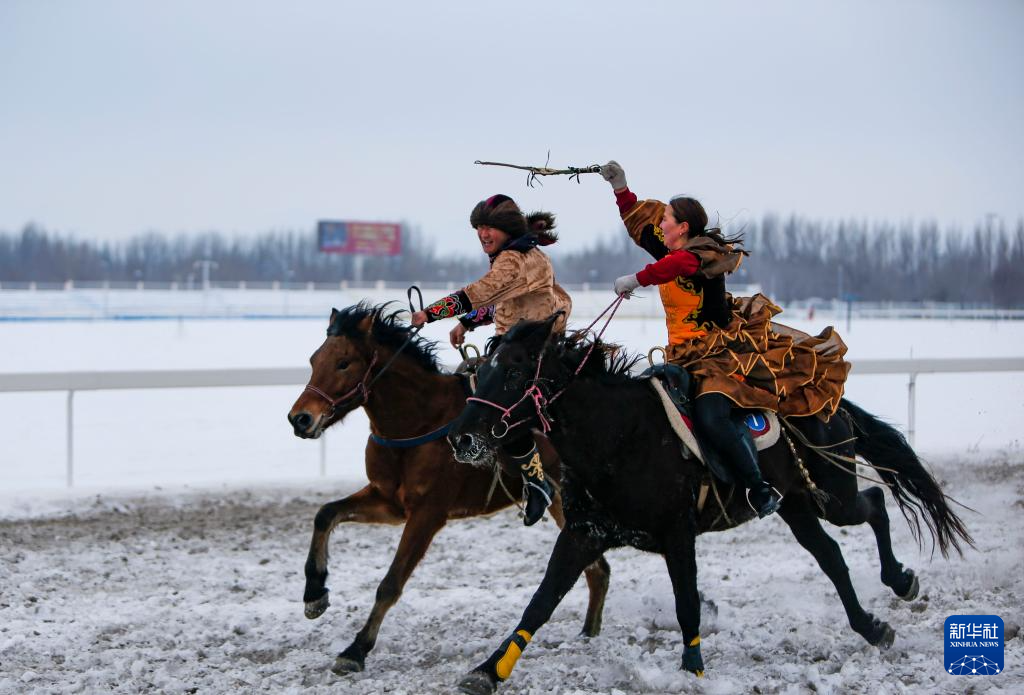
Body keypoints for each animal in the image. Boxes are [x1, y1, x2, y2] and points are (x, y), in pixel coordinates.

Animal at [286, 303, 611, 675]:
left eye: (344, 362)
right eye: (314, 360)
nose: (300, 419)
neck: (420, 420)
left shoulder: (428, 514)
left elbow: (391, 583)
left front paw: (356, 649)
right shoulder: (389, 502)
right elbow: (325, 515)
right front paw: (314, 594)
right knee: (598, 570)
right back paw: (588, 635)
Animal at [447, 313, 973, 694]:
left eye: (514, 371)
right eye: (480, 371)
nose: (461, 437)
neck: (620, 436)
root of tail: (829, 404)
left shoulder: (678, 534)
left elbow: (687, 605)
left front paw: (694, 672)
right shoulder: (583, 534)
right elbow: (539, 604)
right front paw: (489, 671)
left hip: (831, 493)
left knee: (875, 503)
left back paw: (900, 581)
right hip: (795, 505)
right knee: (832, 556)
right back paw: (872, 626)